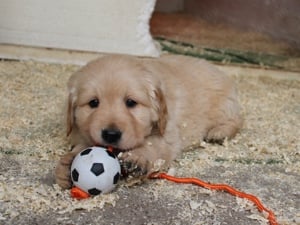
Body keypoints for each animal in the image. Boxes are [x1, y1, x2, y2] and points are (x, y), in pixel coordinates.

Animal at [55, 54, 244, 188]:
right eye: (93, 102)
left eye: (131, 102)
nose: (111, 134)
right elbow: (83, 145)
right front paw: (67, 163)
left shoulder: (167, 132)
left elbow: (154, 145)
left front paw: (137, 158)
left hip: (225, 105)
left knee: (237, 120)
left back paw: (219, 133)